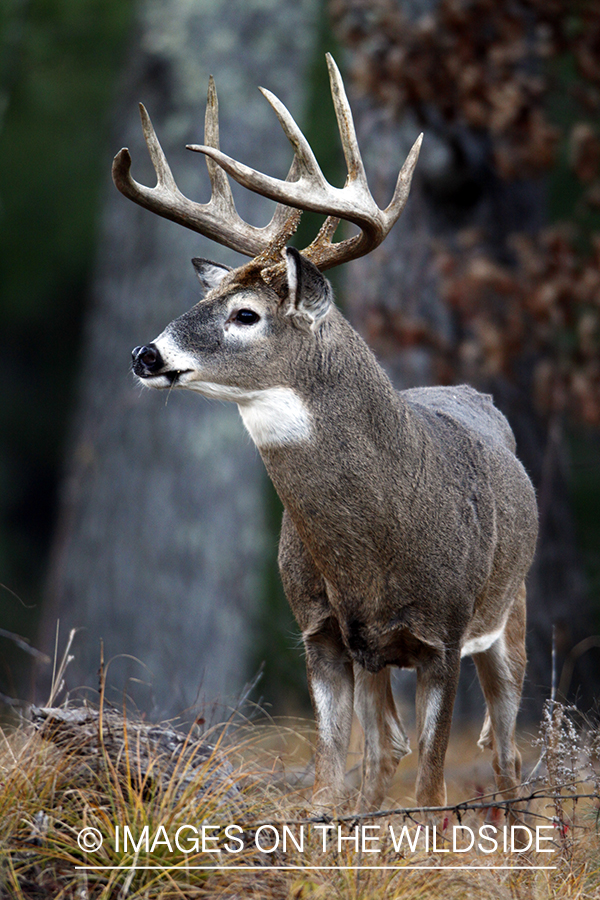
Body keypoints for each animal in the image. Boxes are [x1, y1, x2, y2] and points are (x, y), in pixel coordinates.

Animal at [113, 54, 540, 816]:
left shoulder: (445, 631)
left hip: (510, 609)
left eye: (247, 314)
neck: (374, 549)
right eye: (204, 297)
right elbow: (330, 779)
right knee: (383, 750)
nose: (146, 356)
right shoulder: (319, 631)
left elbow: (431, 790)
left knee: (508, 754)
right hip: (376, 655)